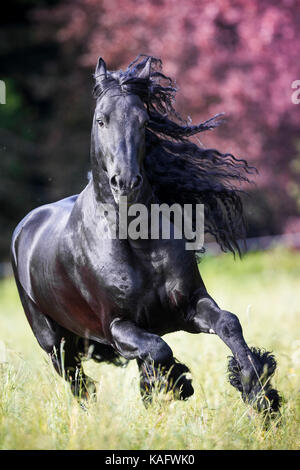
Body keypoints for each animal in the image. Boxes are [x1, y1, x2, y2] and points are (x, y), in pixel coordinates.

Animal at [10, 56, 280, 412]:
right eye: (101, 120)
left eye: (143, 120)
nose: (125, 182)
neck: (138, 244)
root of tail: (25, 226)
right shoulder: (117, 325)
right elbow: (159, 349)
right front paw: (179, 383)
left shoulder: (191, 304)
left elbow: (228, 323)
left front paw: (260, 394)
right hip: (56, 344)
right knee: (80, 386)